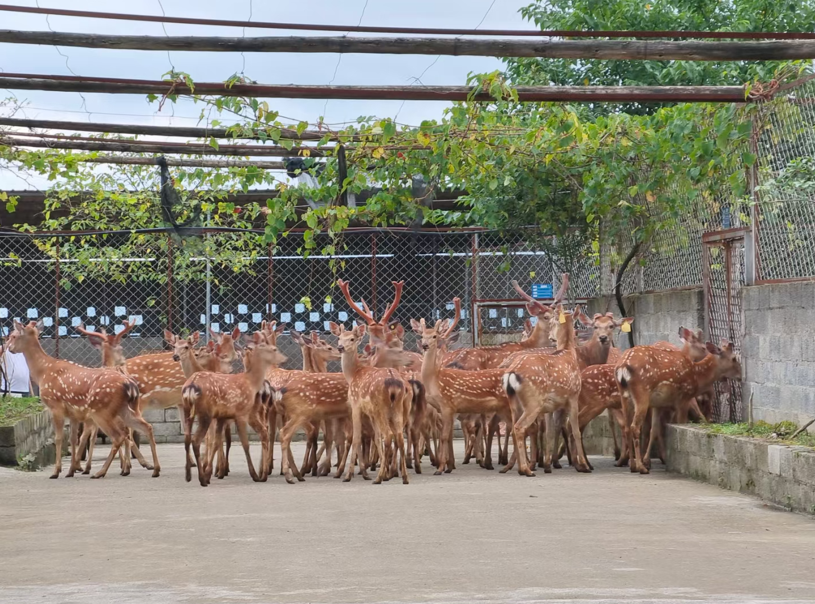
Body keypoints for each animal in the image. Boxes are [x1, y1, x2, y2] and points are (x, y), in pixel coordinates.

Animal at [6, 318, 161, 478]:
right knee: (145, 427)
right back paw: (154, 469)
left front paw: (57, 471)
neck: (43, 372)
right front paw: (71, 470)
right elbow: (74, 439)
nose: (9, 348)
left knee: (119, 436)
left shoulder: (55, 405)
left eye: (13, 336)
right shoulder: (73, 414)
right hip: (127, 409)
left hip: (101, 411)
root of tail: (130, 384)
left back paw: (101, 472)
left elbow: (59, 438)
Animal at [182, 330, 286, 486]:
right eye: (274, 349)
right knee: (195, 440)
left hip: (189, 410)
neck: (251, 381)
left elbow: (217, 441)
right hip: (206, 414)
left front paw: (213, 472)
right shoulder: (239, 413)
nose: (284, 358)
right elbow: (244, 444)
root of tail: (191, 385)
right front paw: (252, 474)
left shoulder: (222, 416)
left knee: (188, 438)